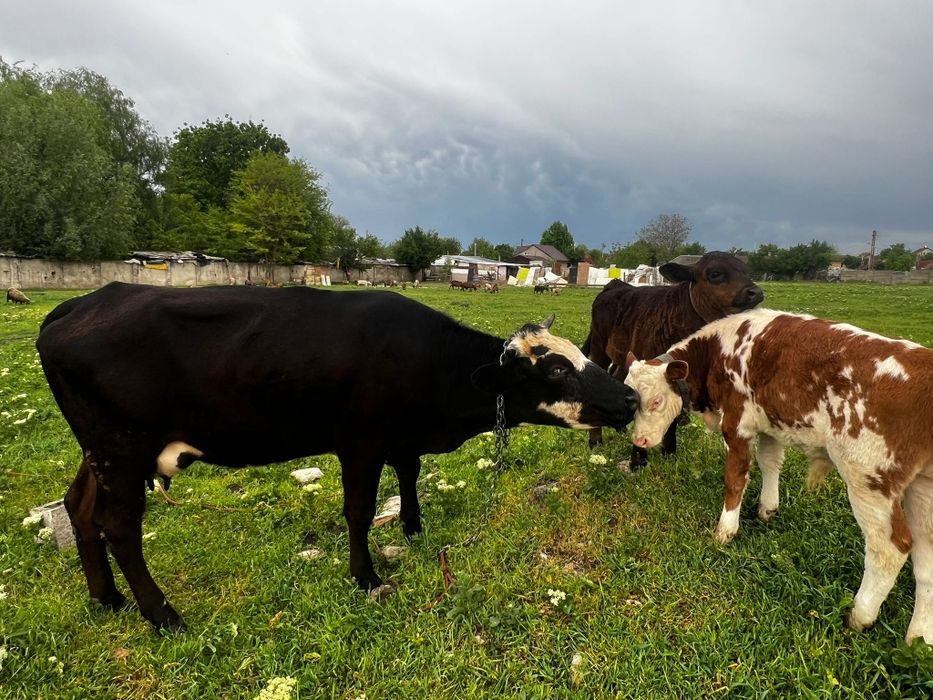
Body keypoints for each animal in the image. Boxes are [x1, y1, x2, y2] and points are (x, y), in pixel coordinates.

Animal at [37, 282, 639, 631]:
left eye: (582, 354)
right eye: (556, 369)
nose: (630, 398)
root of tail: (81, 303)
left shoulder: (399, 437)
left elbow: (410, 473)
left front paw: (415, 527)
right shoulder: (360, 442)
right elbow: (358, 511)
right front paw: (366, 576)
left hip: (100, 451)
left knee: (78, 507)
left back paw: (107, 599)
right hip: (121, 449)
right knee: (119, 526)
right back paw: (161, 614)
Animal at [581, 251, 763, 468]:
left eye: (746, 271)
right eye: (715, 274)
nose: (756, 292)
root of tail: (615, 285)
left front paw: (668, 452)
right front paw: (638, 461)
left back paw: (620, 427)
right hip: (599, 347)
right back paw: (595, 439)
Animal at [624, 308, 933, 643]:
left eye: (656, 401)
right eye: (632, 404)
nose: (640, 441)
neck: (717, 351)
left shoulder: (737, 424)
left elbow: (735, 478)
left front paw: (726, 530)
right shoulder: (769, 423)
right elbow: (770, 463)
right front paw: (767, 507)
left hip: (869, 479)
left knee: (889, 548)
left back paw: (860, 615)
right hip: (922, 487)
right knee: (926, 560)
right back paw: (918, 637)